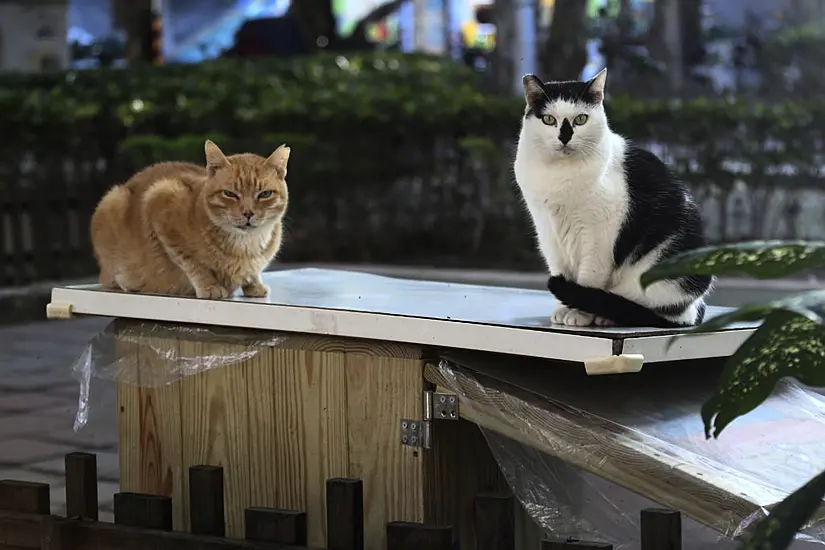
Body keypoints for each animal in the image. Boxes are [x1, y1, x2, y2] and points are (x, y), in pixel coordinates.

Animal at [89, 140, 290, 300]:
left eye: (265, 194)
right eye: (230, 194)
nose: (248, 212)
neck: (246, 246)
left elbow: (252, 272)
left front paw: (254, 285)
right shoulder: (160, 201)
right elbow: (192, 262)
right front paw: (209, 286)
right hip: (113, 200)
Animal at [512, 68, 712, 328]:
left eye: (581, 119)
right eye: (548, 120)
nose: (565, 137)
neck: (560, 176)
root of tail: (697, 308)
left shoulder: (598, 237)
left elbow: (588, 278)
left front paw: (578, 313)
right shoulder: (548, 232)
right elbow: (562, 270)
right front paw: (564, 309)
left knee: (663, 311)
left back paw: (607, 315)